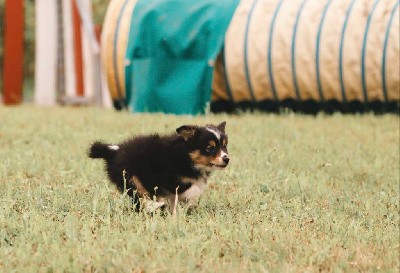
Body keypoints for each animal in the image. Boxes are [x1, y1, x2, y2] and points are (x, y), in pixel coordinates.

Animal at [88, 120, 230, 211]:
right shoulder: (170, 179)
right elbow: (194, 189)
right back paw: (154, 206)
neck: (186, 156)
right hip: (129, 178)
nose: (226, 159)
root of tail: (115, 150)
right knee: (141, 198)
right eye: (210, 148)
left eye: (224, 146)